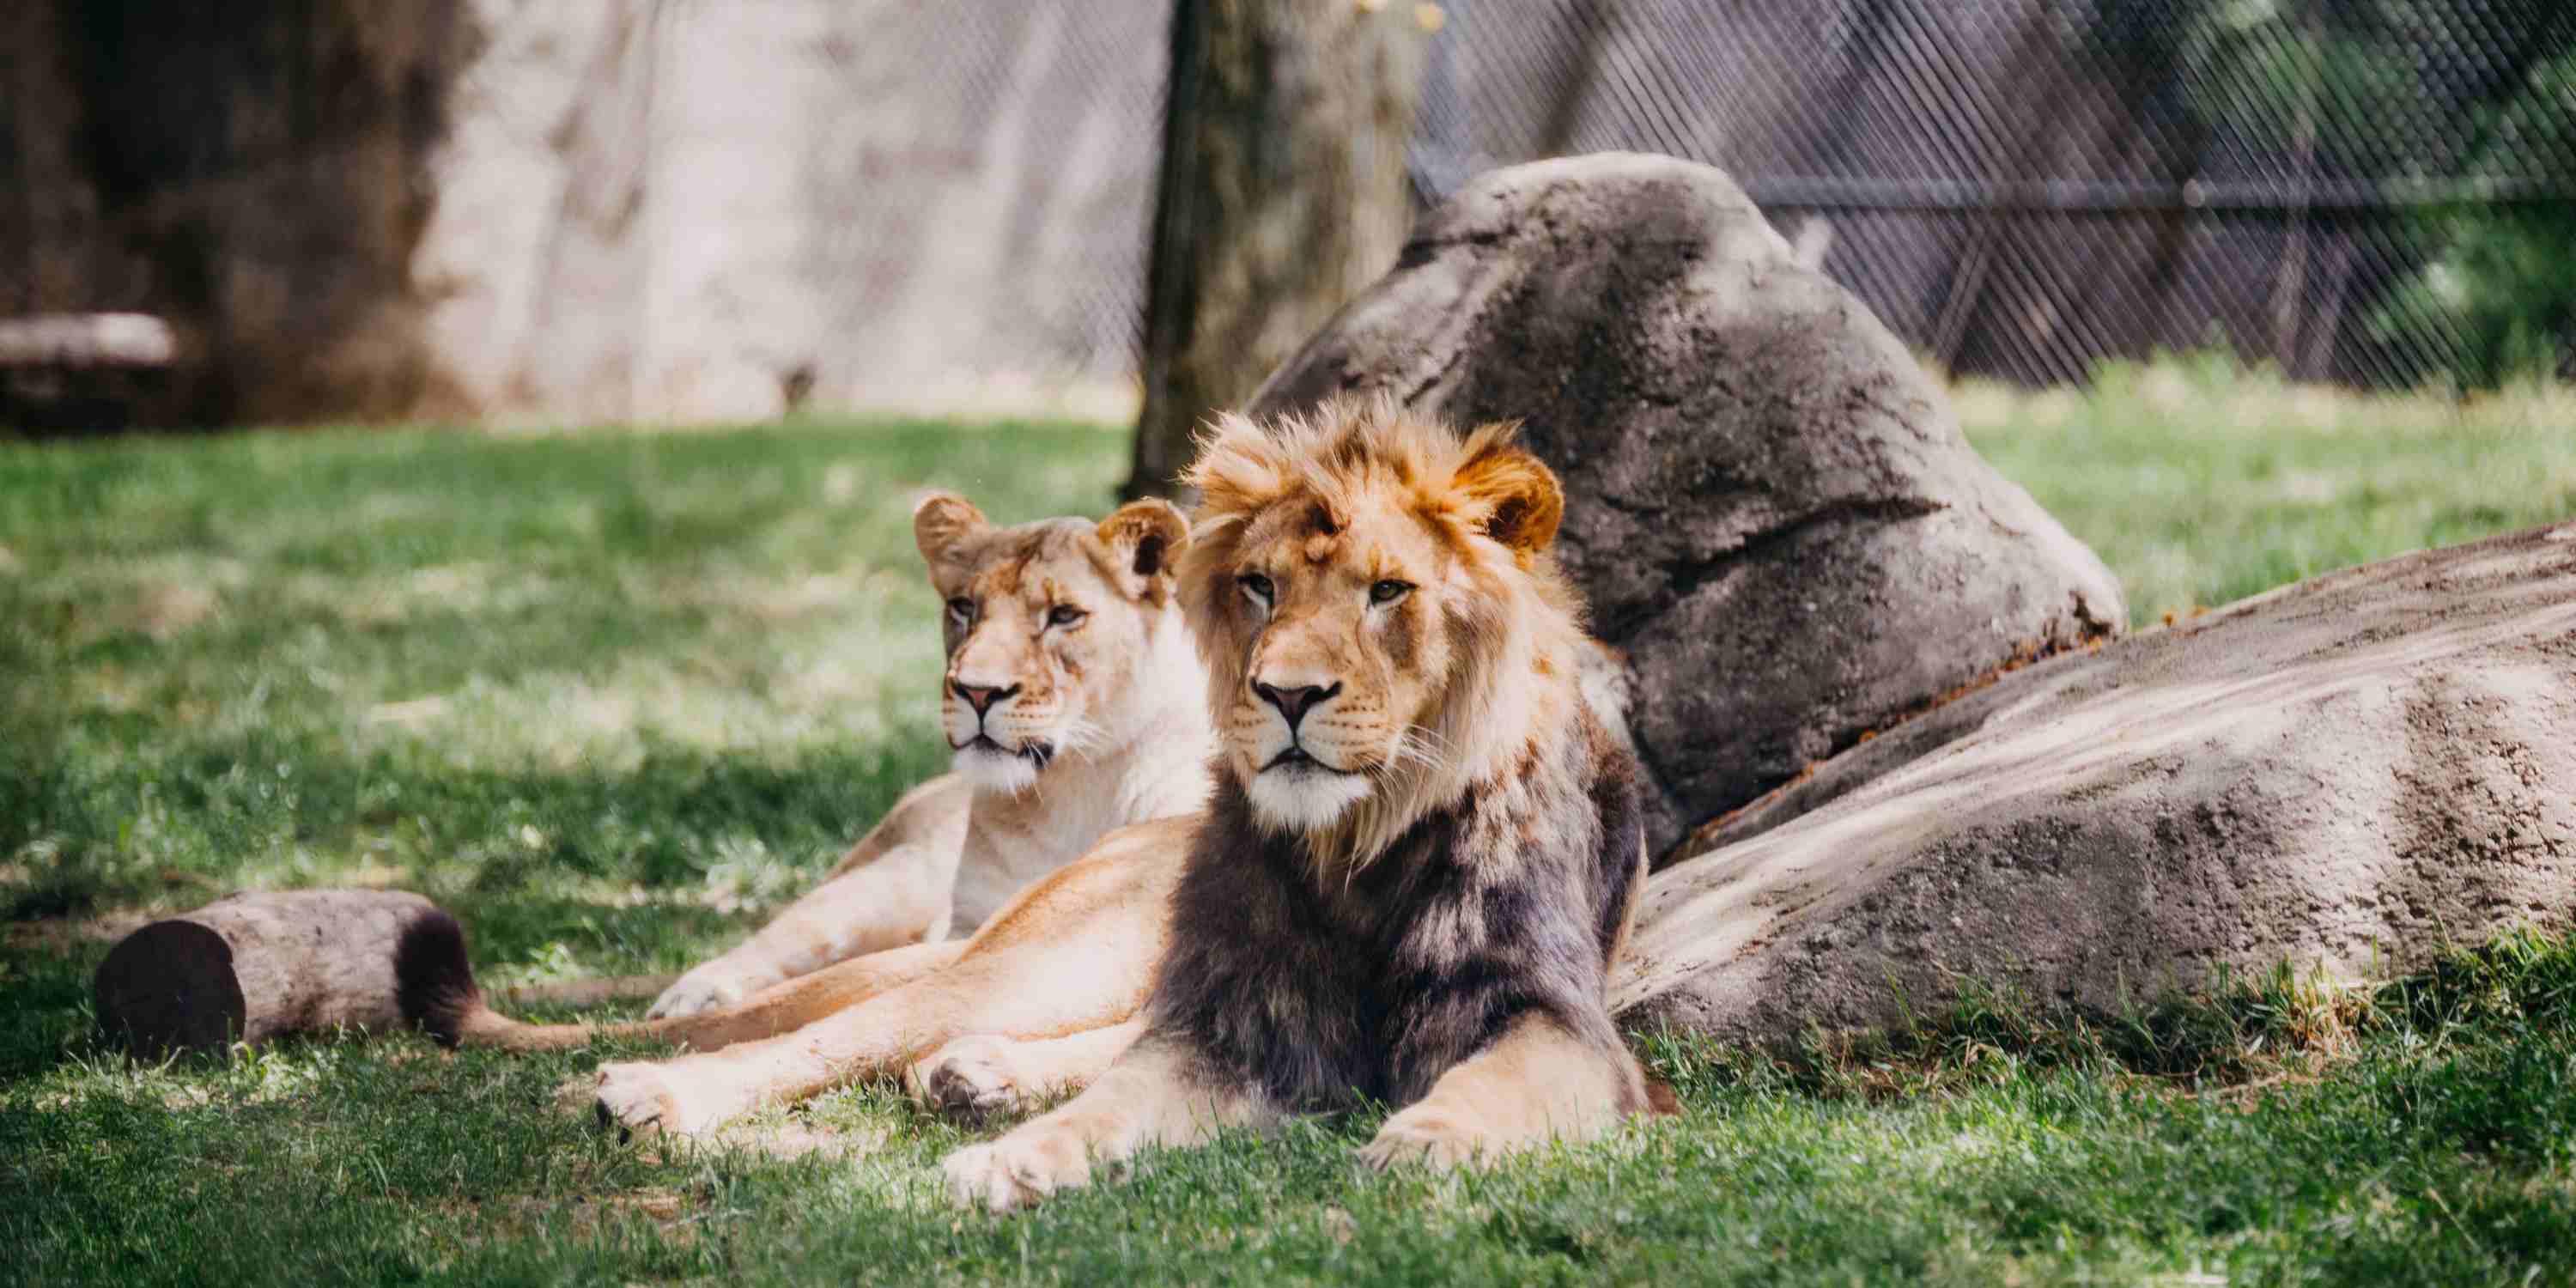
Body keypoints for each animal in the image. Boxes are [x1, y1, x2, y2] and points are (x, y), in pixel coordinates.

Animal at [428, 484, 1211, 1066]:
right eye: (964, 608)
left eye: (1064, 616)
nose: (977, 692)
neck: (1072, 783)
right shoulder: (966, 917)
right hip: (885, 883)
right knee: (780, 945)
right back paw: (693, 994)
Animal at [948, 399, 1669, 1206]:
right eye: (1261, 586)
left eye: (1387, 591)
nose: (1288, 695)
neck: (1356, 846)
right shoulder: (1238, 1014)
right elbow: (1120, 1092)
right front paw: (1012, 1158)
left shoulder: (1554, 1015)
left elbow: (1494, 1083)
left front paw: (1422, 1147)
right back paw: (981, 1070)